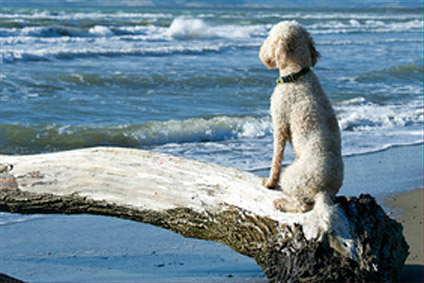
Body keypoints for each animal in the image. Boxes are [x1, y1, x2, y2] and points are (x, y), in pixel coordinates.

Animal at [258, 21, 344, 213]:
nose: (260, 51)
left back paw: (281, 203)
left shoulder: (280, 123)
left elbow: (276, 158)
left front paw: (269, 183)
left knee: (302, 206)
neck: (297, 74)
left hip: (290, 176)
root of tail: (323, 191)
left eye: (270, 37)